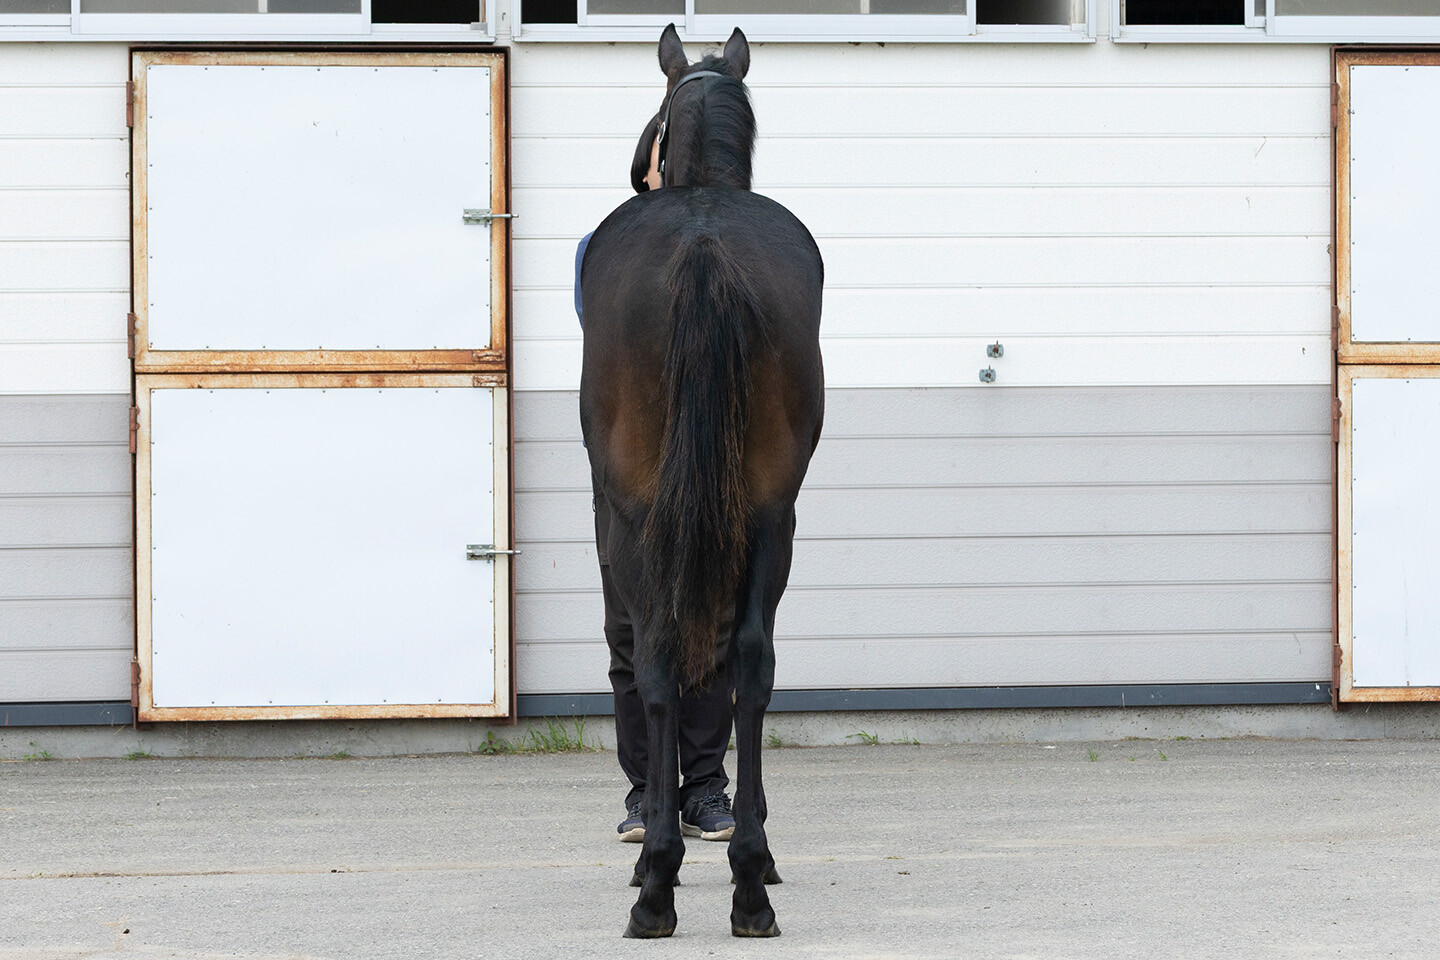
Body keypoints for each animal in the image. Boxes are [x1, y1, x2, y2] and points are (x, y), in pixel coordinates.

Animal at [578, 24, 825, 940]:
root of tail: (703, 249)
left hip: (635, 519)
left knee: (652, 656)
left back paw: (658, 881)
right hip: (770, 515)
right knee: (747, 662)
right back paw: (749, 880)